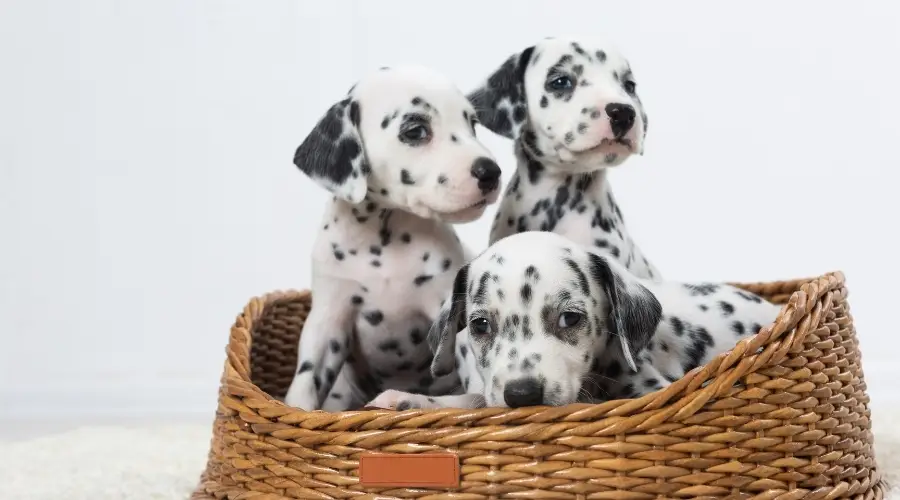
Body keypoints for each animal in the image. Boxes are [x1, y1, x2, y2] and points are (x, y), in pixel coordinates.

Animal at [284, 65, 502, 410]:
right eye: (415, 130)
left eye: (472, 123)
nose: (490, 172)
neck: (384, 243)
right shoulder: (328, 321)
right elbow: (306, 383)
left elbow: (473, 395)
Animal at [366, 231, 780, 410]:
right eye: (481, 325)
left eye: (570, 318)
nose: (522, 395)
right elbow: (475, 401)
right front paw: (407, 400)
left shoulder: (649, 389)